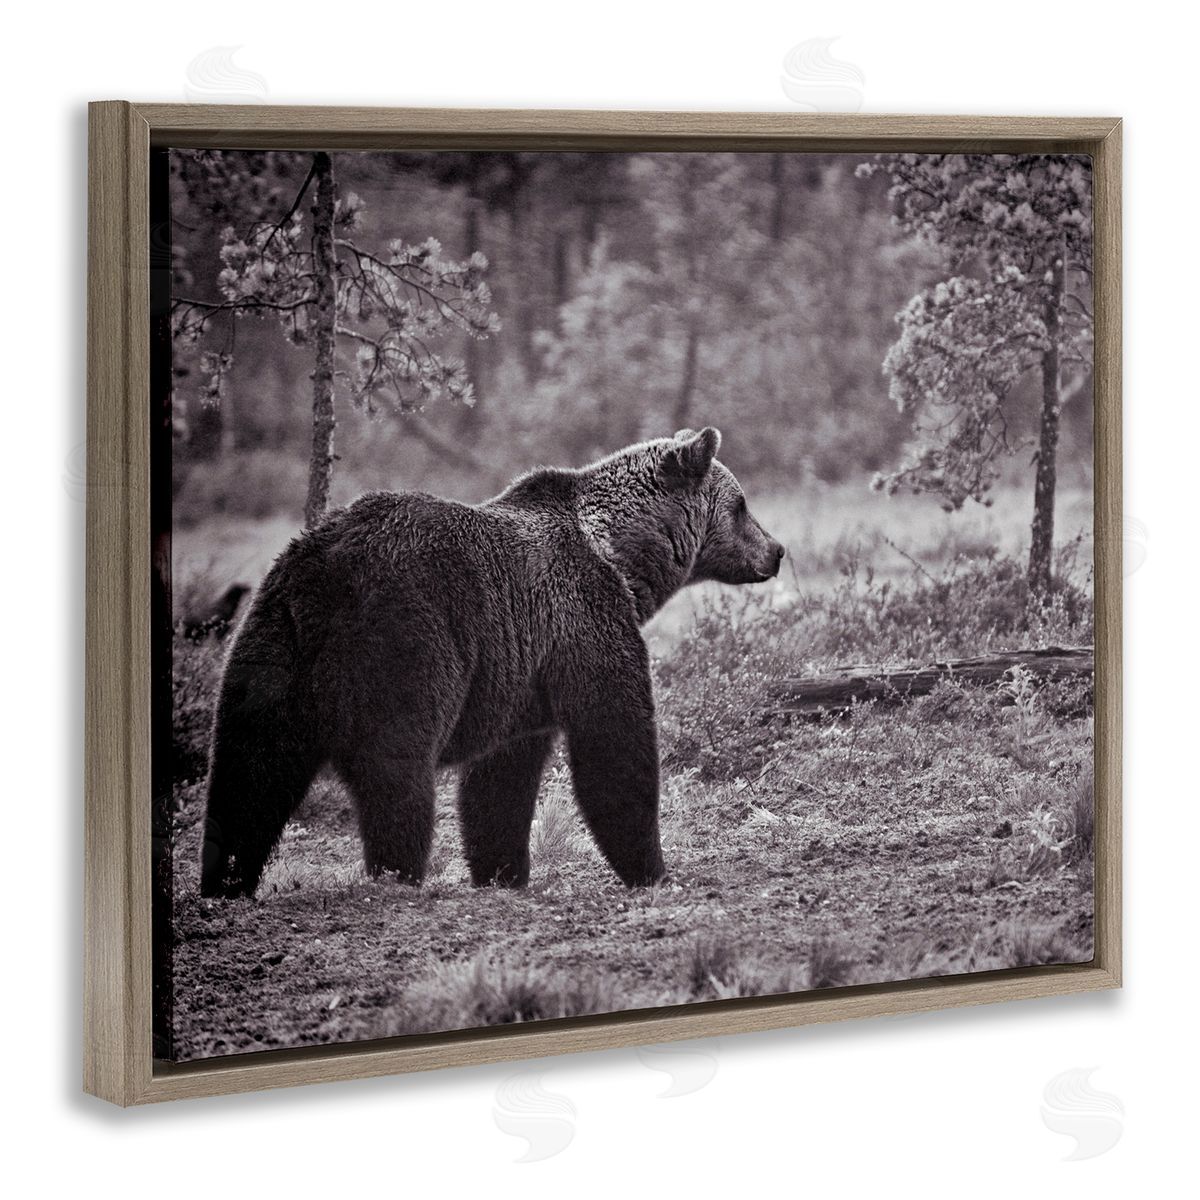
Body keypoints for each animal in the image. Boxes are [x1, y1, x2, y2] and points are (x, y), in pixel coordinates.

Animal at [199, 427, 784, 898]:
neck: (620, 557)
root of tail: (326, 573)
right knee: (396, 768)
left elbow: (501, 780)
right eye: (741, 505)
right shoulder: (584, 620)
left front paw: (503, 872)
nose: (776, 550)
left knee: (248, 769)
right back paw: (397, 873)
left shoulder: (521, 675)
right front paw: (654, 871)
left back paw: (225, 881)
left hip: (271, 643)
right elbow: (614, 739)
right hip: (407, 638)